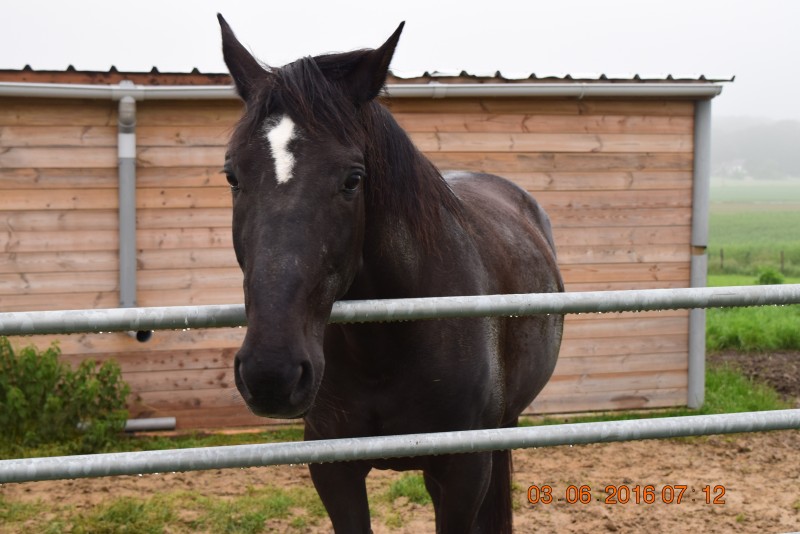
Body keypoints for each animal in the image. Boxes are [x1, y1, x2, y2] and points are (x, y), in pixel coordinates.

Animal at [217, 14, 564, 533]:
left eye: (352, 180)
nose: (271, 373)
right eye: (233, 176)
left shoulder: (464, 471)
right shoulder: (334, 471)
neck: (384, 345)